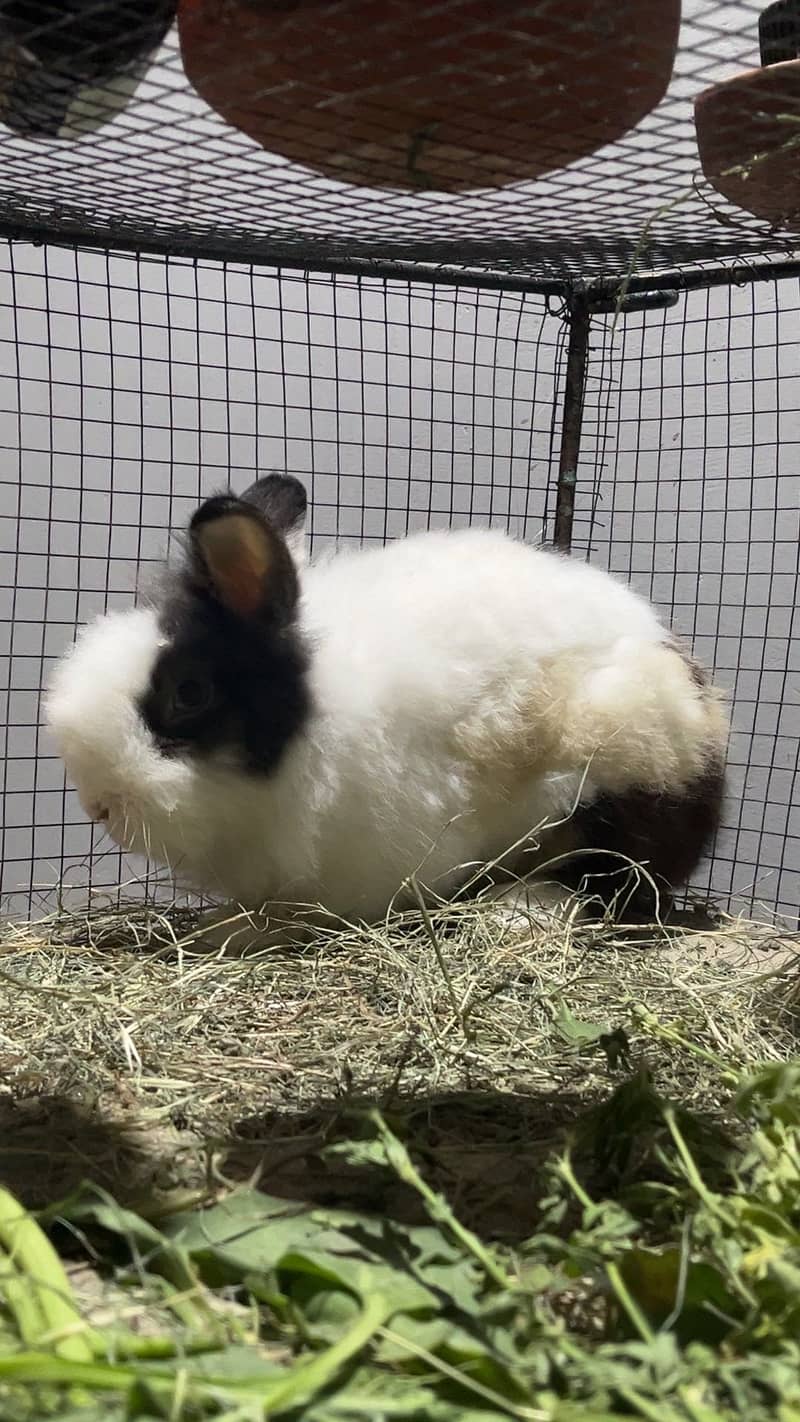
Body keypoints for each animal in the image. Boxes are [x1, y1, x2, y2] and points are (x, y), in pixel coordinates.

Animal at [46, 473, 728, 949]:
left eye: (189, 693)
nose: (98, 805)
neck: (311, 725)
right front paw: (219, 924)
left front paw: (237, 933)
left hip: (624, 764)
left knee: (617, 885)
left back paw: (517, 910)